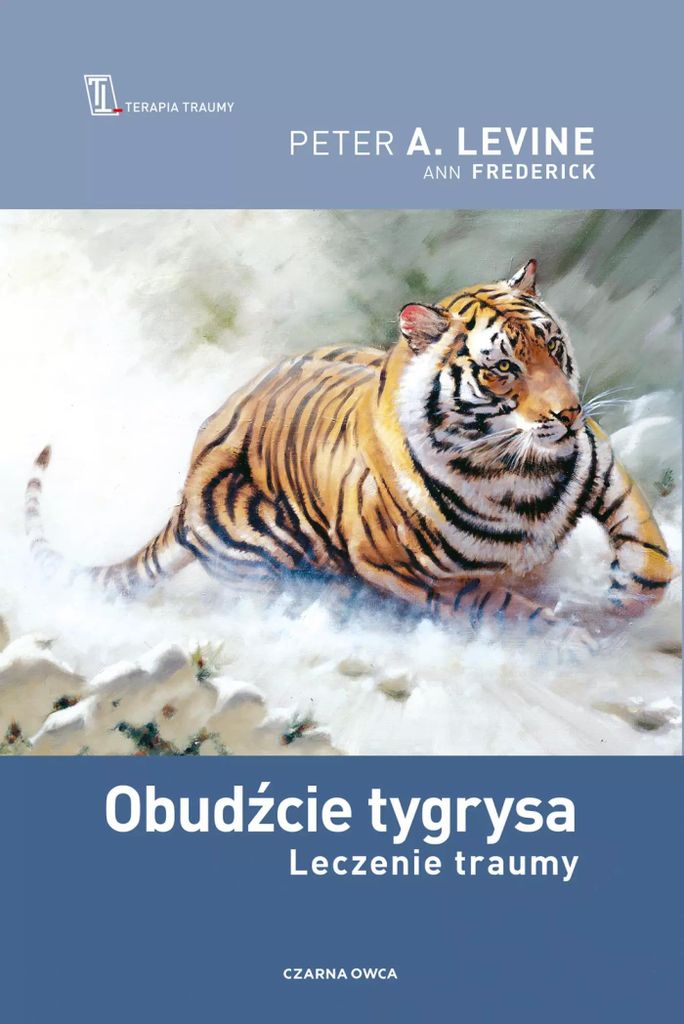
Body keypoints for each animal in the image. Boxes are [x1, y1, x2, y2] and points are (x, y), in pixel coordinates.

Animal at [26, 259, 674, 642]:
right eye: (503, 369)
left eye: (553, 346)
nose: (569, 413)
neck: (514, 470)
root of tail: (182, 498)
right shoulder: (401, 568)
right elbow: (498, 604)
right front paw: (566, 635)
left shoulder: (601, 465)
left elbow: (652, 561)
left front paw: (617, 604)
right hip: (267, 547)